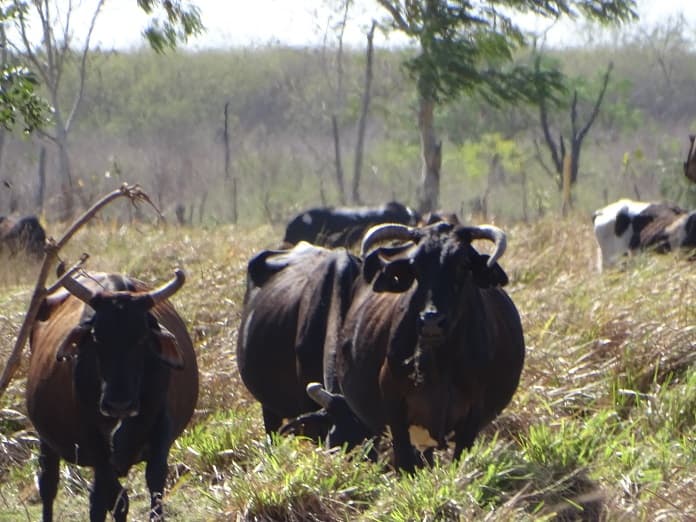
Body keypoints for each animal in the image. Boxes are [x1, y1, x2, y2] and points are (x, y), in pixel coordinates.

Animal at [26, 268, 197, 520]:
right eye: (97, 337)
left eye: (142, 338)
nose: (119, 404)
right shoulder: (94, 442)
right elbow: (103, 498)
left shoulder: (160, 430)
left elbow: (154, 482)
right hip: (46, 441)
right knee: (49, 485)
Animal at [330, 220, 520, 472]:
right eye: (416, 266)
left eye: (463, 264)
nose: (431, 321)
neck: (442, 362)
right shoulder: (394, 405)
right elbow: (404, 460)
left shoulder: (474, 412)